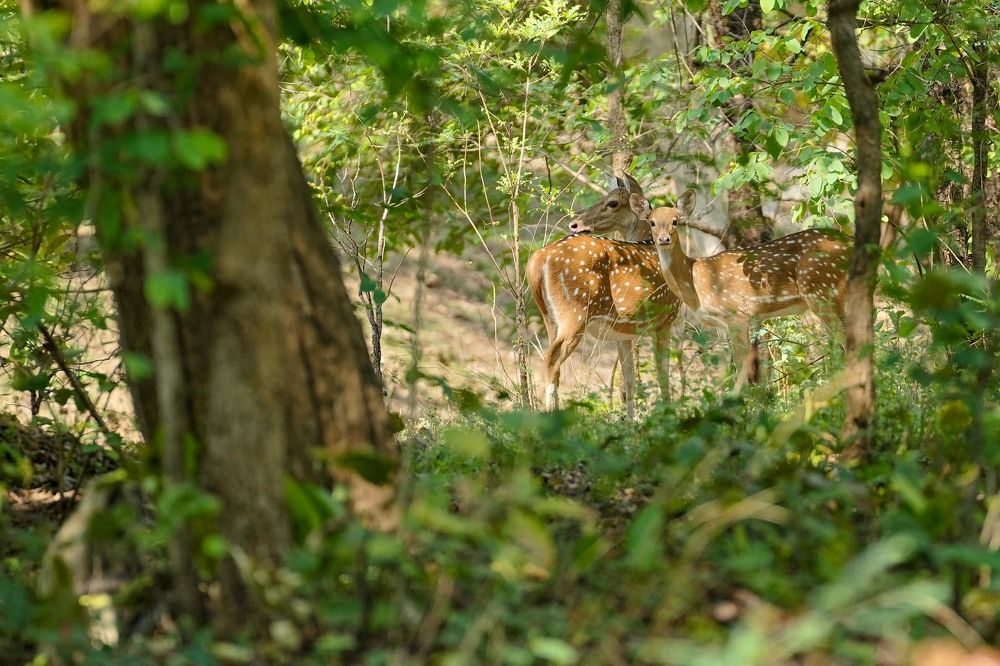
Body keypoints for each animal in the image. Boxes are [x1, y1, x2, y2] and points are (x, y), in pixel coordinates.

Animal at [526, 175, 680, 417]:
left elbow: (628, 380)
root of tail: (538, 259)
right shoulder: (666, 317)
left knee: (552, 361)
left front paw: (630, 421)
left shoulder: (624, 333)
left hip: (549, 316)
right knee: (551, 359)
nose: (574, 224)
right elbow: (662, 375)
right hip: (576, 311)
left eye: (612, 202)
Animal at [628, 190, 851, 392]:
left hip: (822, 292)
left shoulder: (737, 313)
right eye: (652, 222)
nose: (664, 239)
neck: (696, 283)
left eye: (675, 221)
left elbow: (742, 365)